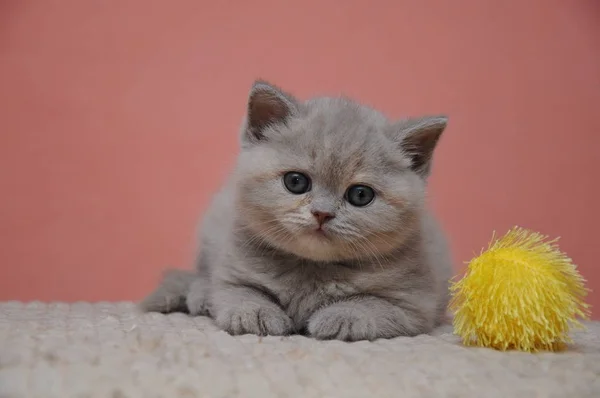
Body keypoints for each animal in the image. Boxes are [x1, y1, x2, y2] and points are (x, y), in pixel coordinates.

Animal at [139, 79, 450, 340]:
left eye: (360, 195)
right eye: (296, 182)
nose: (322, 213)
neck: (311, 268)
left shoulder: (415, 304)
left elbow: (373, 305)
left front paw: (341, 317)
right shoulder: (233, 270)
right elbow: (238, 293)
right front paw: (255, 314)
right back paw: (201, 296)